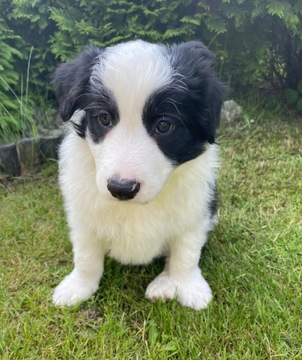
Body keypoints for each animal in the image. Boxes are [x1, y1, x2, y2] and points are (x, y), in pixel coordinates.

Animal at [52, 38, 224, 310]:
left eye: (164, 125)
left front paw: (188, 286)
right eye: (104, 118)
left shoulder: (197, 211)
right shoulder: (83, 216)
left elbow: (186, 253)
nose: (122, 188)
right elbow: (86, 255)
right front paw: (77, 286)